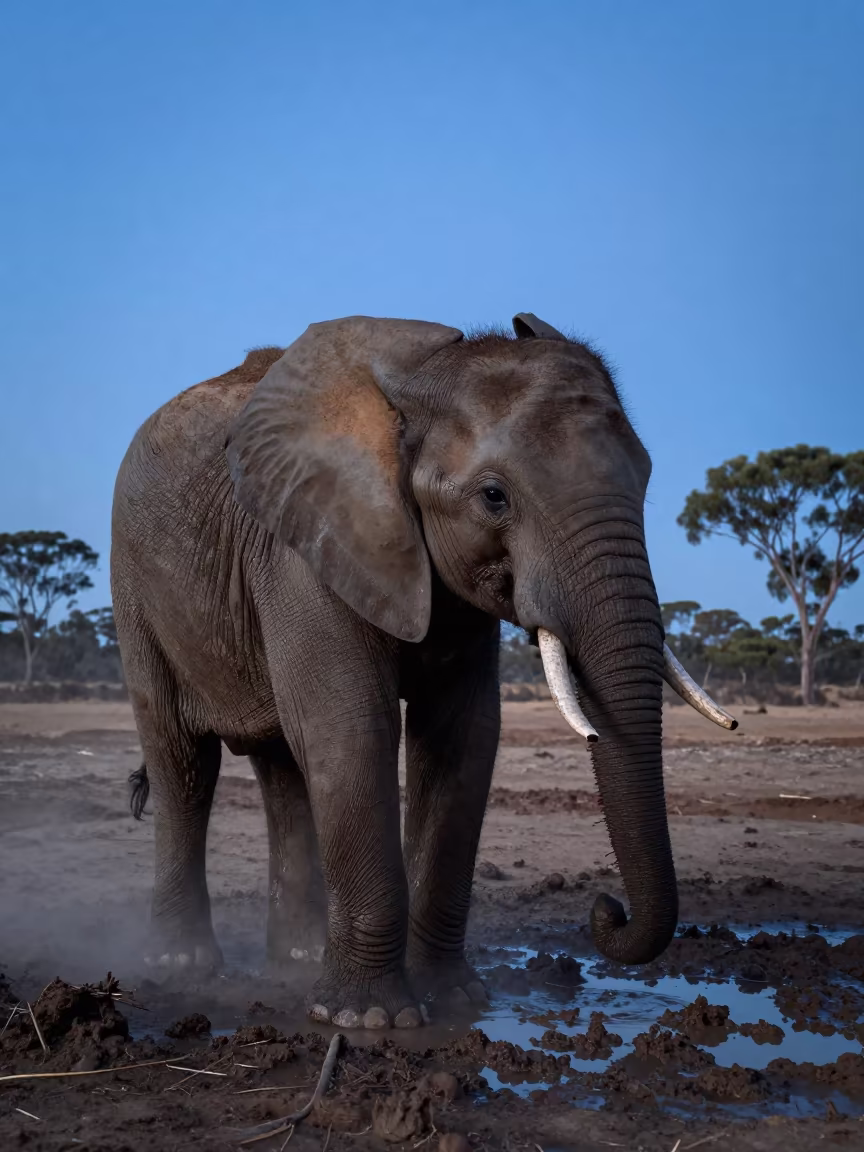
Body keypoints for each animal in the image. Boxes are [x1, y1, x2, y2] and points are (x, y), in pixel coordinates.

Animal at [111, 312, 736, 1030]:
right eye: (494, 497)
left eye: (645, 479)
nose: (607, 909)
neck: (420, 384)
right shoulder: (307, 548)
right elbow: (352, 726)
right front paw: (367, 1021)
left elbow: (462, 737)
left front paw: (454, 1000)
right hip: (134, 583)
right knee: (183, 760)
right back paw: (183, 966)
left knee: (283, 769)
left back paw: (296, 960)